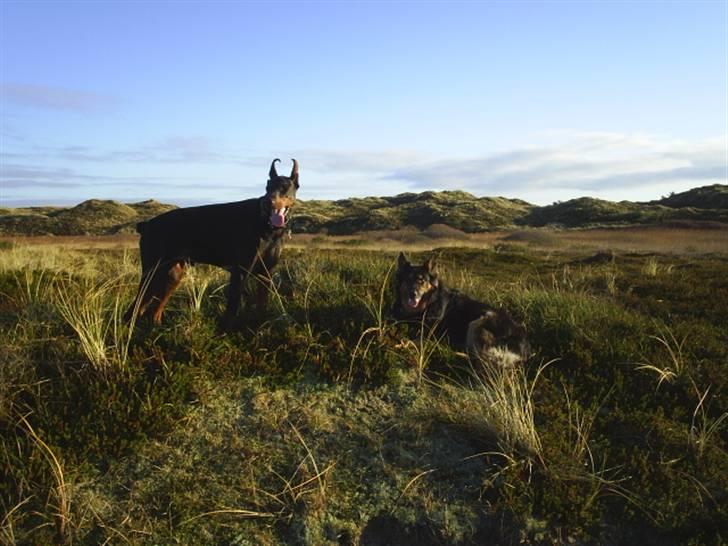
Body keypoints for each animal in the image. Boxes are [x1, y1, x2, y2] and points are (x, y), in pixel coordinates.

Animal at [125, 157, 298, 328]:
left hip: (172, 275)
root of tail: (146, 225)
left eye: (284, 187)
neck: (267, 226)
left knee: (153, 310)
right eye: (267, 187)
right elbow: (232, 310)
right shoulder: (240, 273)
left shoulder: (266, 274)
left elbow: (262, 307)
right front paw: (228, 332)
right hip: (152, 273)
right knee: (133, 310)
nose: (268, 202)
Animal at [392, 252, 528, 366]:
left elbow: (414, 339)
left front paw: (404, 343)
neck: (426, 305)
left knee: (479, 356)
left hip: (480, 321)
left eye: (421, 280)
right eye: (407, 279)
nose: (412, 294)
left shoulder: (428, 333)